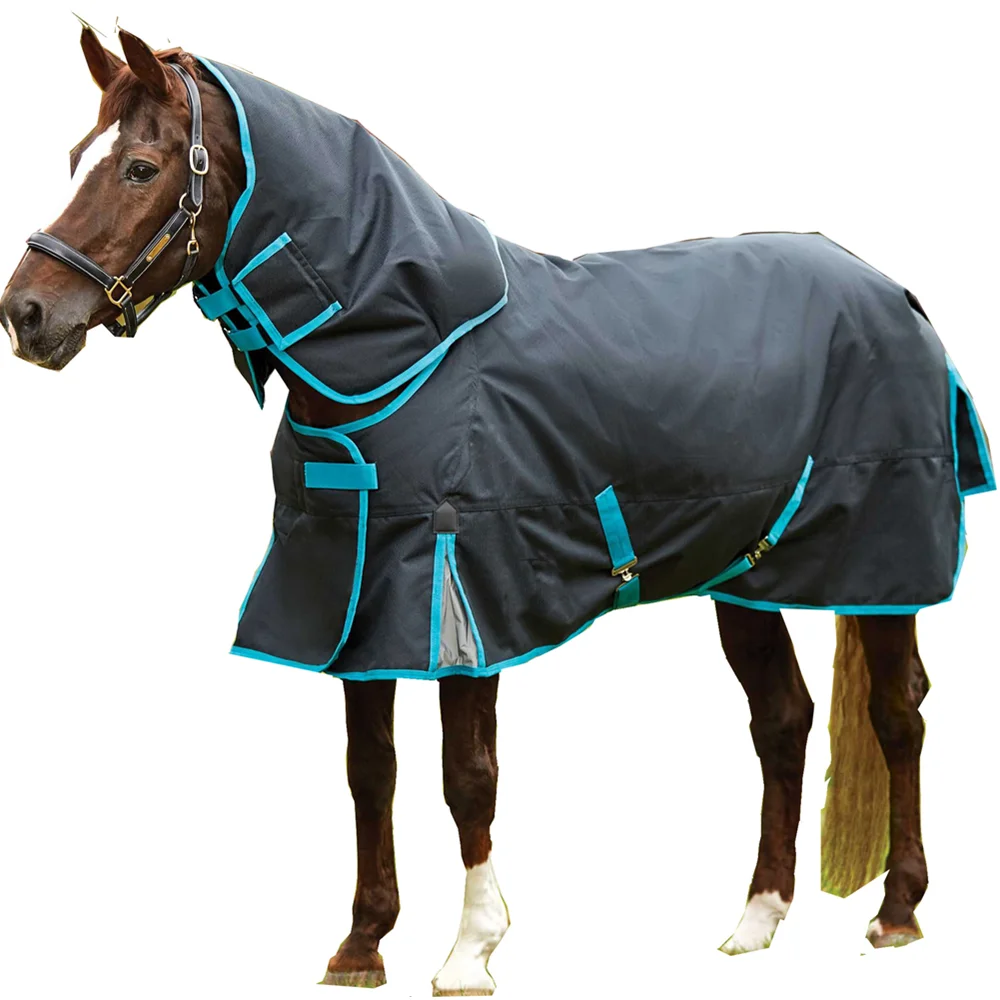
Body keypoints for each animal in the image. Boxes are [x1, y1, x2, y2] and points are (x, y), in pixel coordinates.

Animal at [1, 27, 993, 996]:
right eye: (75, 156)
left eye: (139, 167)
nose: (26, 314)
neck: (408, 352)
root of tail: (890, 289)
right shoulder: (358, 596)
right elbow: (371, 772)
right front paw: (361, 945)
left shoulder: (461, 589)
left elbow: (467, 777)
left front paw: (470, 949)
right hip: (745, 577)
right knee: (781, 719)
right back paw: (756, 920)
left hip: (882, 563)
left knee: (899, 714)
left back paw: (898, 911)